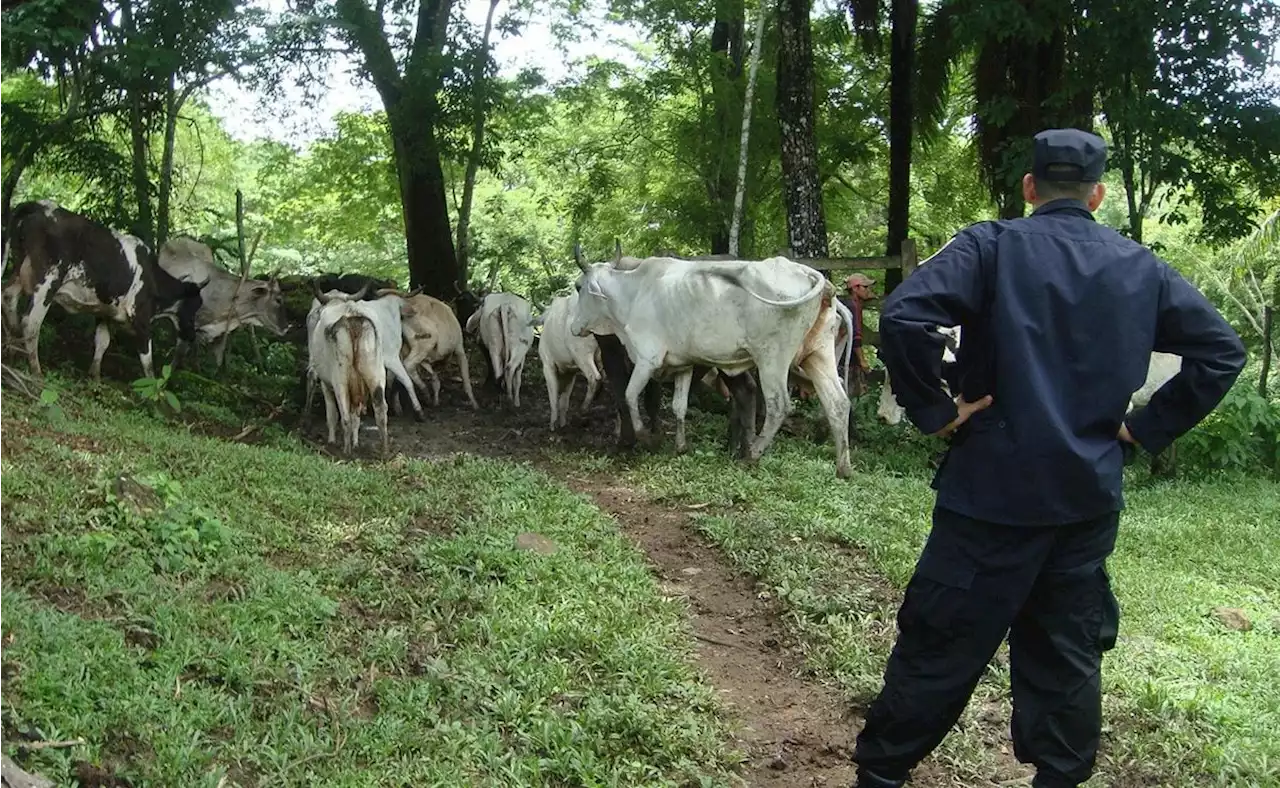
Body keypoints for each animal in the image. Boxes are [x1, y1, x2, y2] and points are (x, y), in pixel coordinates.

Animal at [0, 199, 202, 378]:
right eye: (195, 306)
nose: (192, 336)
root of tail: (39, 204)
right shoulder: (141, 319)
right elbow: (148, 362)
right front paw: (154, 391)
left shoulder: (104, 311)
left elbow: (102, 342)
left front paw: (95, 376)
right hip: (48, 280)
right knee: (31, 322)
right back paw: (36, 370)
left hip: (21, 267)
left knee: (8, 297)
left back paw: (11, 352)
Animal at [309, 290, 389, 455]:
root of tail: (353, 316)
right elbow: (355, 418)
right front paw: (356, 442)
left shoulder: (326, 383)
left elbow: (332, 414)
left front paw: (332, 440)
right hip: (376, 374)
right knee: (381, 410)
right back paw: (384, 450)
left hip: (340, 379)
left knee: (344, 415)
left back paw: (346, 451)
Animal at [537, 289, 601, 427]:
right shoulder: (570, 373)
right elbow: (564, 401)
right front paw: (562, 424)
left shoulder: (548, 366)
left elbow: (554, 398)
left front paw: (553, 424)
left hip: (583, 355)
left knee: (595, 378)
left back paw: (584, 408)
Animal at [573, 254, 839, 473]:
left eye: (578, 287)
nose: (574, 327)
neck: (634, 293)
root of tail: (805, 271)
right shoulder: (683, 366)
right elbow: (678, 406)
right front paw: (680, 446)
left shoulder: (648, 360)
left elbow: (630, 396)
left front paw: (647, 439)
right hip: (819, 353)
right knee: (837, 401)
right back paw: (842, 466)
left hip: (772, 359)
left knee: (779, 406)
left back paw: (751, 454)